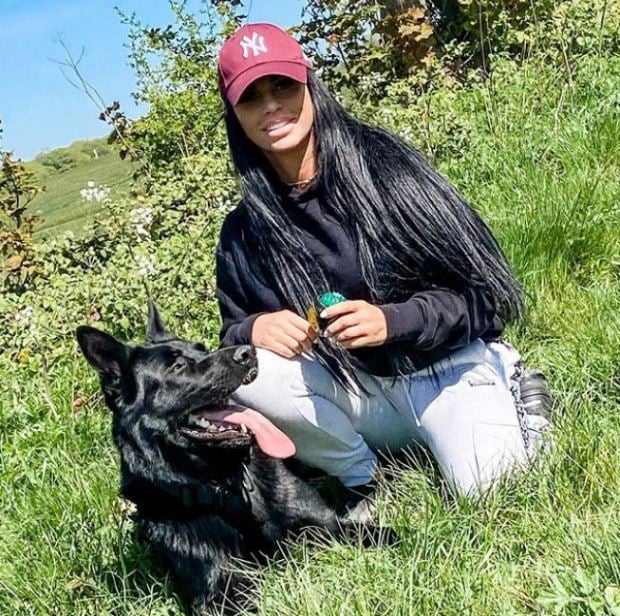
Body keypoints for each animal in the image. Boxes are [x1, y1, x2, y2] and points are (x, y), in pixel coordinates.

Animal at [76, 304, 354, 616]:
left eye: (202, 349)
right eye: (177, 367)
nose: (248, 352)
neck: (229, 486)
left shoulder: (331, 526)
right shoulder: (219, 591)